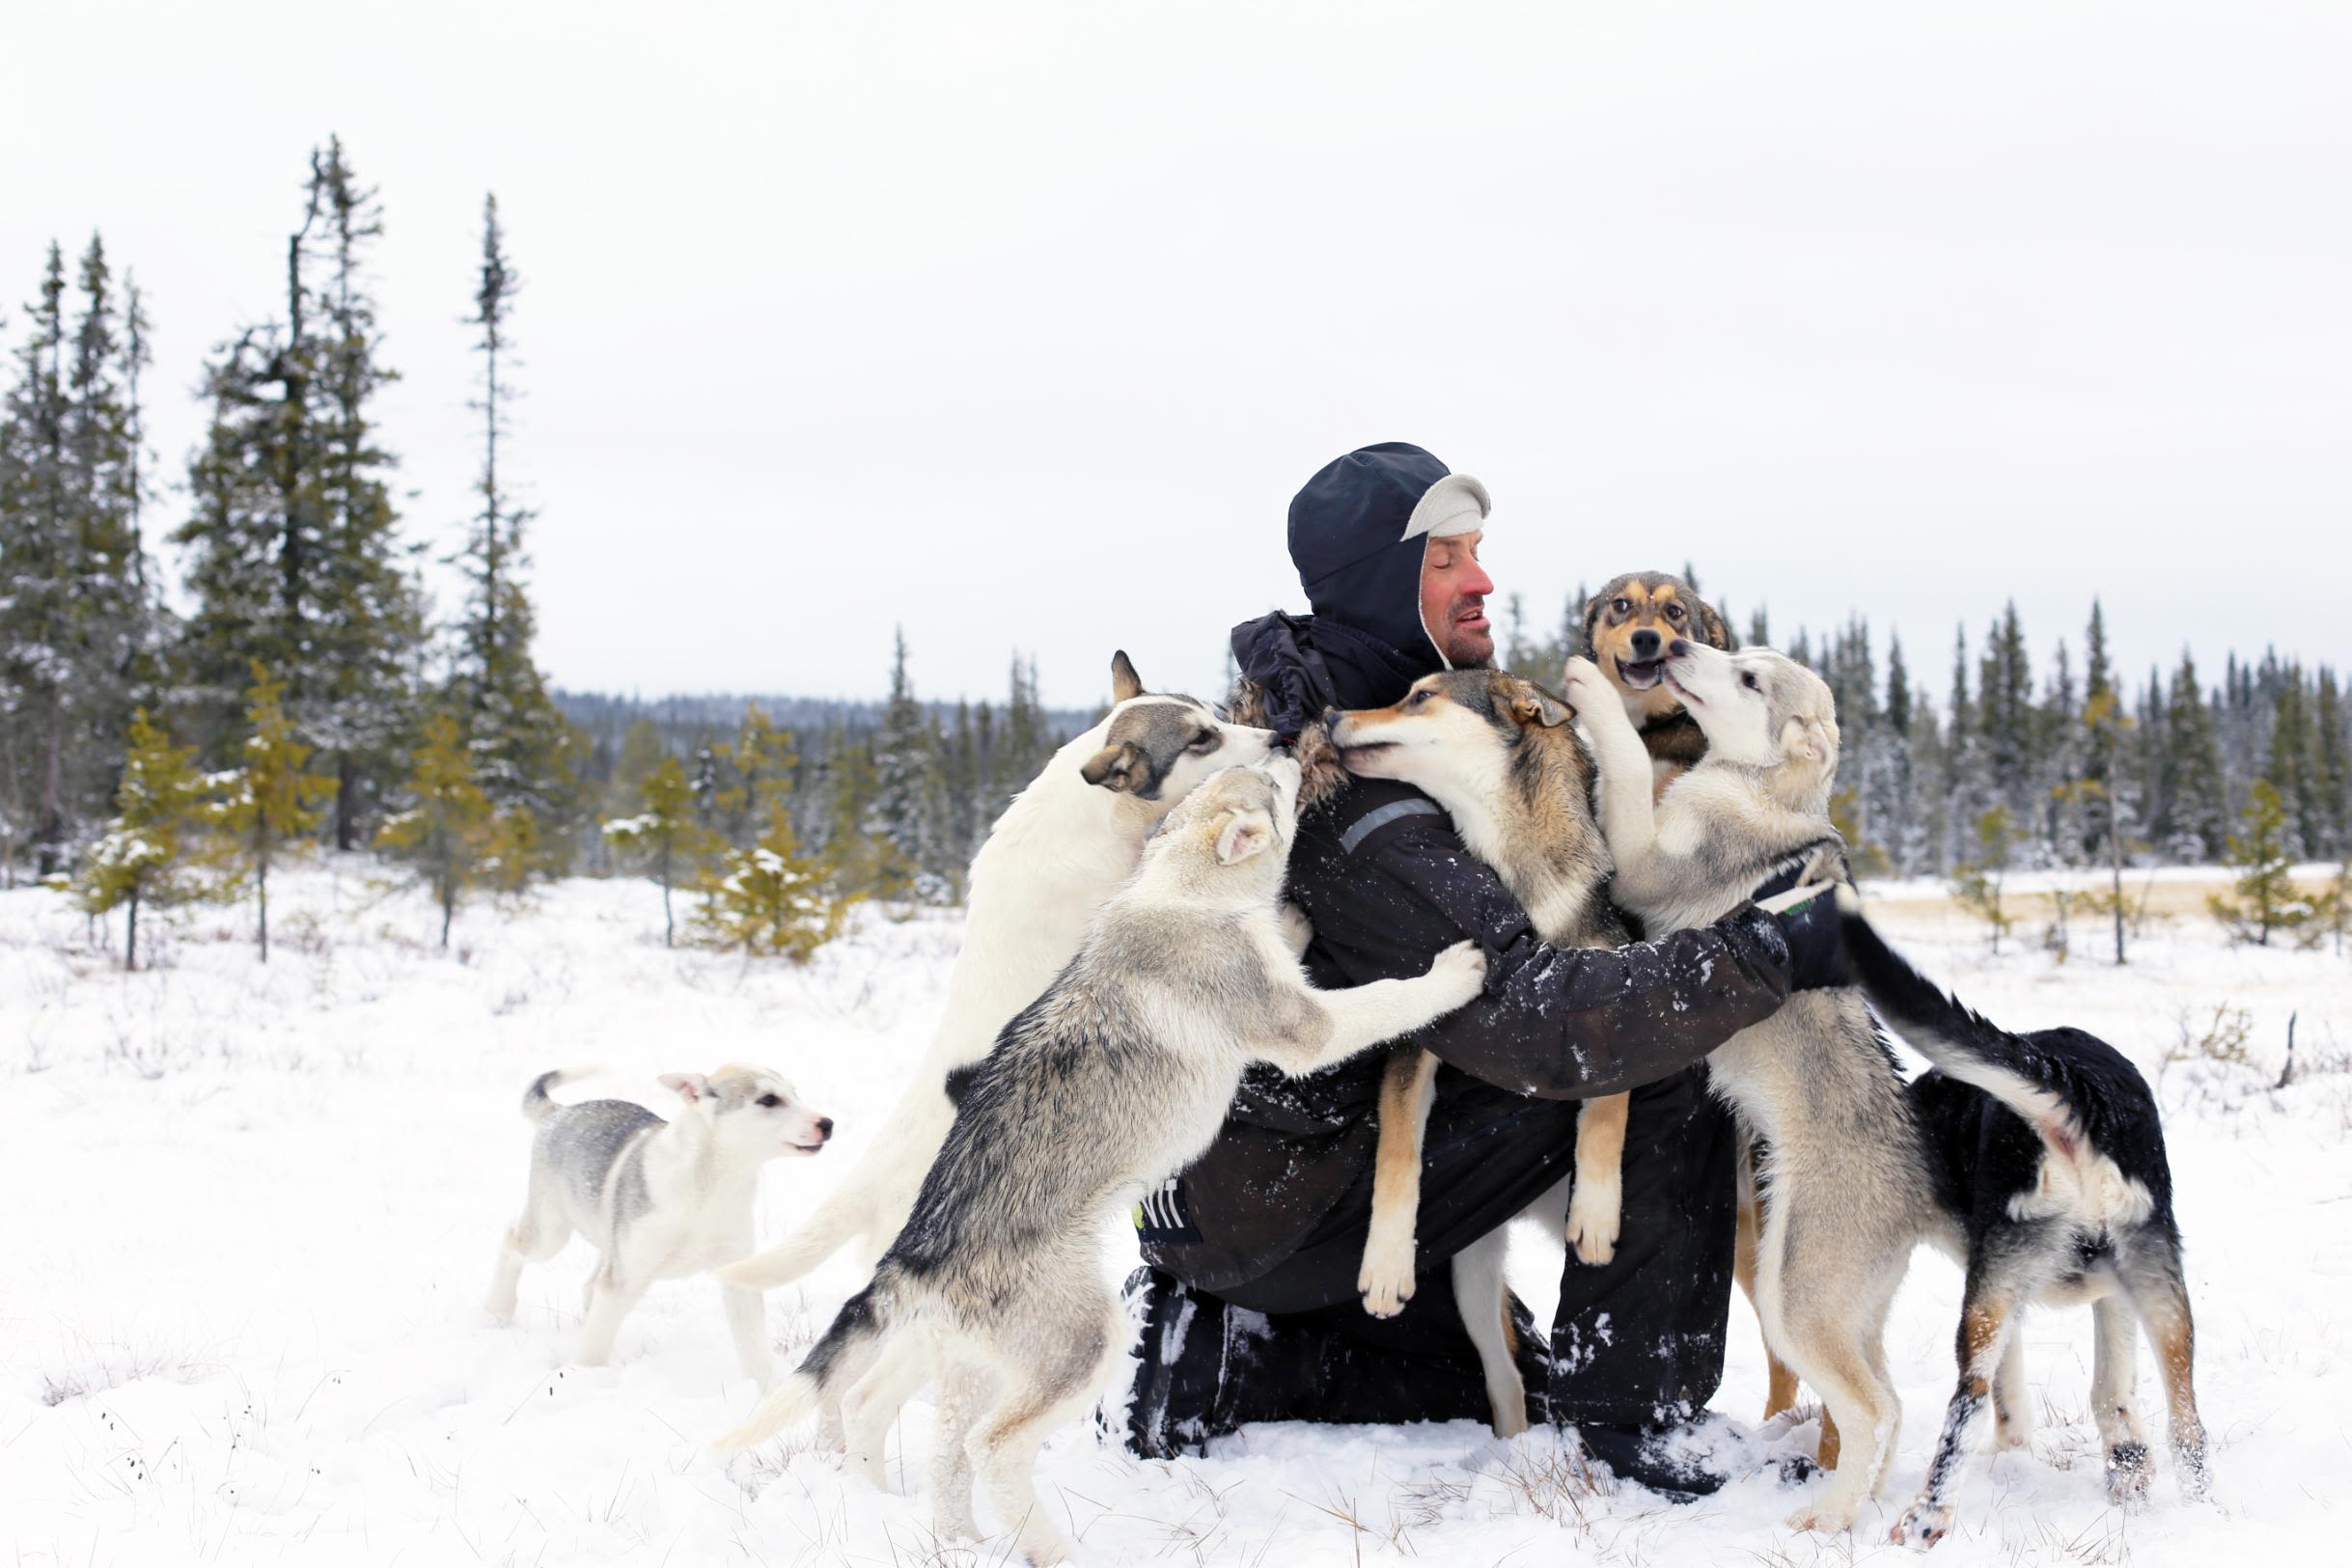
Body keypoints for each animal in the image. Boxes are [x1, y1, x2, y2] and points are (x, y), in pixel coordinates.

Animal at [482, 1067, 832, 1382]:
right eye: (768, 1100)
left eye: (795, 1093)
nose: (827, 1124)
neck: (708, 1187)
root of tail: (560, 1112)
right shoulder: (624, 1278)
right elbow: (593, 1347)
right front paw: (583, 1379)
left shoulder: (737, 1271)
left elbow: (753, 1347)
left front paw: (763, 1393)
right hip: (551, 1233)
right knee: (511, 1241)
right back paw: (497, 1311)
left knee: (590, 1286)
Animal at [714, 752, 1486, 1560]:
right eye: (1272, 787)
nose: (1282, 748)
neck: (1183, 894)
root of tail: (918, 1251)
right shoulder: (1306, 1029)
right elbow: (1388, 1000)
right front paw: (1455, 973)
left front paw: (1294, 921)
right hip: (1081, 1346)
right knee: (991, 1448)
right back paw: (1050, 1548)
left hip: (972, 1366)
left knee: (940, 1448)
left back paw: (967, 1544)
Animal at [1336, 667, 1627, 1439]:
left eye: (1419, 696)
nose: (1329, 712)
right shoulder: (1417, 1041)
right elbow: (1397, 1155)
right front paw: (1384, 1263)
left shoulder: (1614, 987)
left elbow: (1606, 1109)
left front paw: (1597, 1208)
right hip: (1471, 1277)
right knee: (1505, 1382)